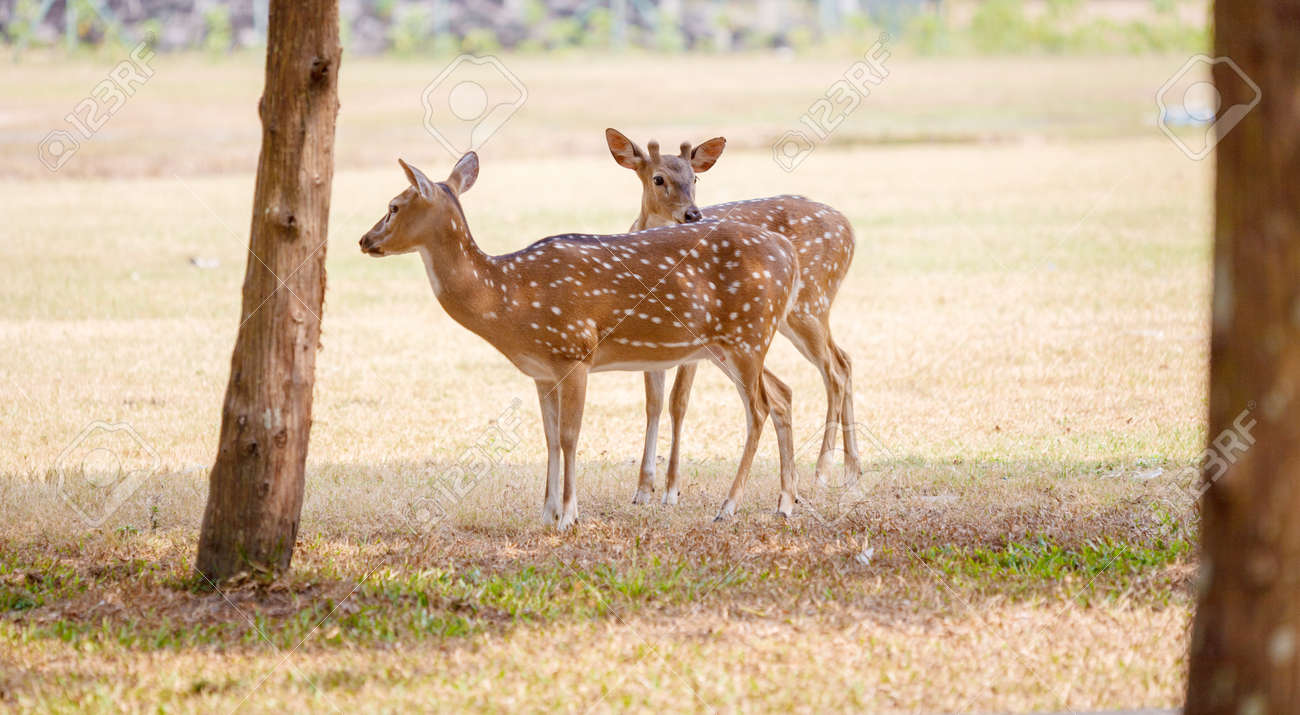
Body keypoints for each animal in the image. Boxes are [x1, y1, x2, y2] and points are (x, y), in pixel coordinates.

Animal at [359, 152, 801, 531]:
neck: (507, 298)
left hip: (747, 336)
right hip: (729, 344)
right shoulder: (541, 371)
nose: (364, 240)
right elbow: (550, 439)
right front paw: (546, 513)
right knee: (781, 393)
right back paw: (784, 504)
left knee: (758, 409)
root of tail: (787, 253)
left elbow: (570, 437)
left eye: (394, 205)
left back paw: (729, 507)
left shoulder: (573, 351)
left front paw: (569, 516)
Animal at [604, 128, 861, 507]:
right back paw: (851, 472)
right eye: (658, 178)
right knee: (845, 358)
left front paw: (671, 489)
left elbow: (678, 402)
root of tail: (849, 229)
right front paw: (642, 489)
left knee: (835, 368)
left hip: (810, 302)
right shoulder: (652, 335)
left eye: (695, 178)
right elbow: (653, 403)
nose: (693, 214)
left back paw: (824, 469)